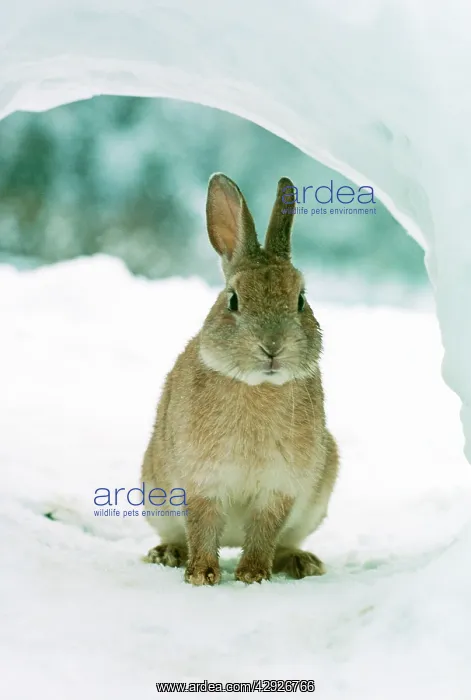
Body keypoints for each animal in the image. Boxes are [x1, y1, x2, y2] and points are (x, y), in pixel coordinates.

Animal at [141, 173, 339, 585]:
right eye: (233, 300)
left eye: (300, 299)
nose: (272, 346)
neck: (257, 385)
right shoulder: (202, 481)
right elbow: (202, 526)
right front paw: (201, 575)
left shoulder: (279, 488)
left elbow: (264, 531)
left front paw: (252, 576)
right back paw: (168, 554)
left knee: (284, 541)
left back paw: (302, 562)